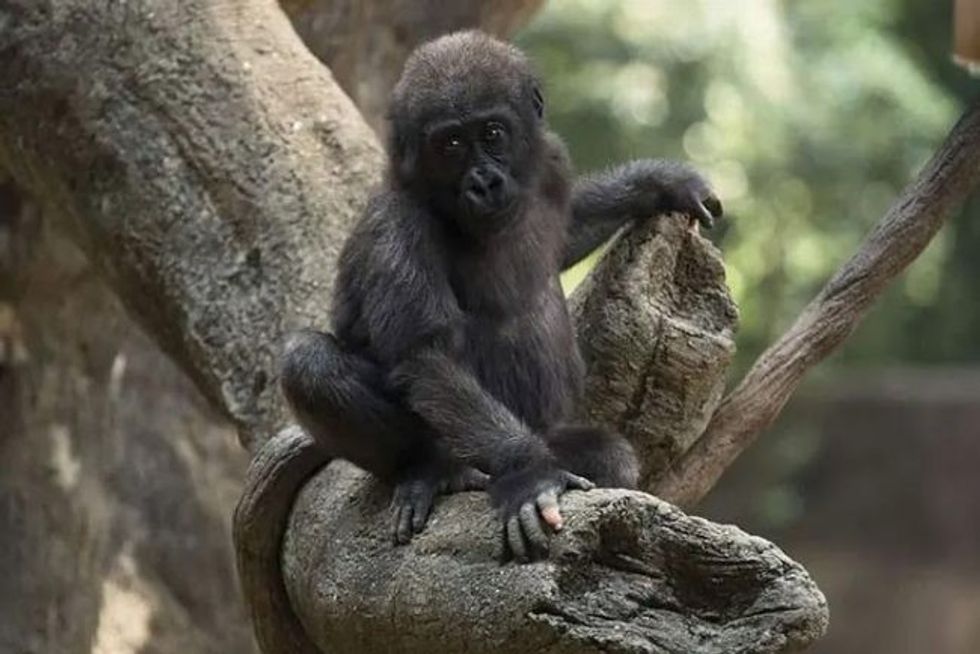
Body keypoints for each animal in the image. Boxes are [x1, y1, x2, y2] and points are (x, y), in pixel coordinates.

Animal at [280, 31, 722, 561]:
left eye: (492, 133)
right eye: (450, 145)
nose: (484, 182)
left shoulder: (550, 159)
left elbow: (570, 225)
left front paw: (660, 184)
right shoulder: (398, 224)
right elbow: (426, 356)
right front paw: (530, 477)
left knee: (609, 457)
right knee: (310, 363)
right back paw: (431, 468)